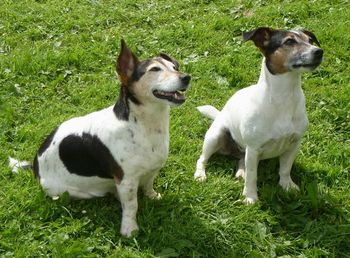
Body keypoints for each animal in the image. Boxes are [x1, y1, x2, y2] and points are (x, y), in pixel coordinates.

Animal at [10, 39, 191, 236]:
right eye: (155, 69)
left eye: (175, 67)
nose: (186, 77)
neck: (142, 125)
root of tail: (35, 165)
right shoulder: (126, 180)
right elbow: (131, 206)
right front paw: (129, 229)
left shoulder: (152, 169)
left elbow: (149, 184)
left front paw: (152, 196)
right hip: (63, 191)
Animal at [194, 27, 322, 205]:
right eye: (289, 41)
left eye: (310, 40)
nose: (319, 51)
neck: (284, 96)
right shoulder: (254, 148)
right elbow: (252, 176)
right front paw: (250, 197)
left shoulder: (294, 143)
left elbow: (285, 169)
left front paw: (287, 185)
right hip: (215, 136)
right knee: (202, 159)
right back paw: (200, 174)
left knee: (242, 160)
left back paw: (241, 172)